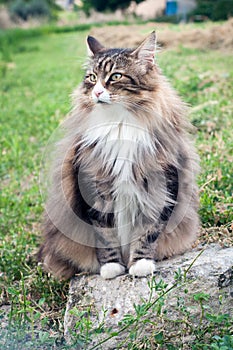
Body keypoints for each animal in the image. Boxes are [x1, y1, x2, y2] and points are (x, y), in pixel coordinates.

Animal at [37, 31, 198, 280]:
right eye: (92, 77)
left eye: (115, 76)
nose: (97, 92)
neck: (120, 124)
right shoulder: (93, 187)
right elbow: (105, 235)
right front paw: (112, 267)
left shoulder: (161, 185)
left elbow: (148, 231)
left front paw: (140, 264)